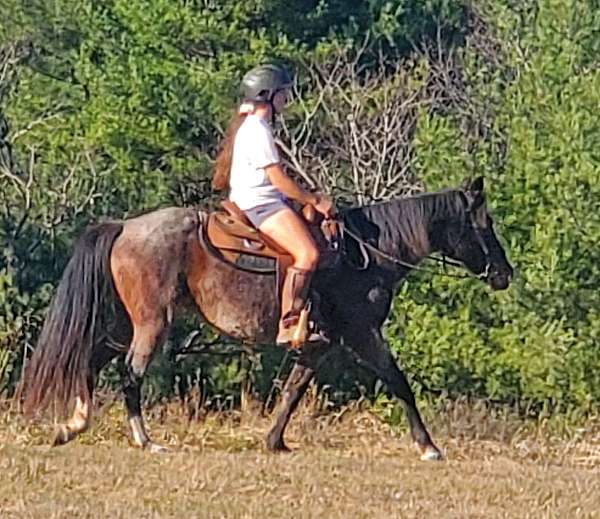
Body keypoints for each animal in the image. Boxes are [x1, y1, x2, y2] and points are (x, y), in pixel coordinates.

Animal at [17, 178, 510, 460]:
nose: (504, 274)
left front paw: (274, 441)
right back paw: (144, 440)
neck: (365, 254)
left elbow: (293, 390)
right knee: (129, 373)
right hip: (151, 323)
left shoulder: (321, 343)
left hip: (126, 323)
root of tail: (124, 227)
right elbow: (398, 381)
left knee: (91, 360)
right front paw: (428, 446)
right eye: (484, 226)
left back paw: (73, 426)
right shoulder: (362, 333)